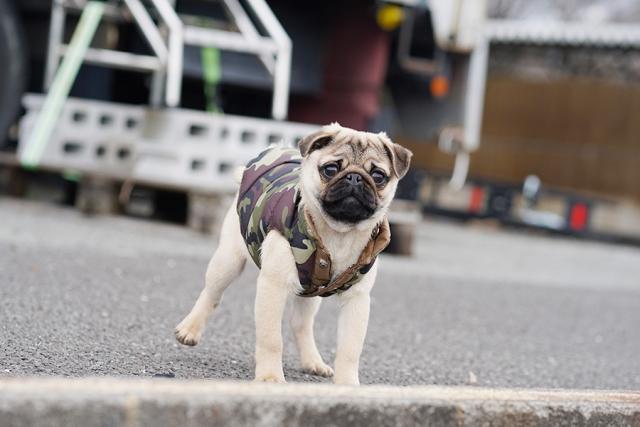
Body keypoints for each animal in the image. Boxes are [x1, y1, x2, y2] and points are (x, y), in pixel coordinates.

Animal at [175, 123, 412, 385]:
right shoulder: (273, 286)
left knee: (301, 324)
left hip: (310, 293)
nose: (355, 177)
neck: (338, 235)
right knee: (212, 294)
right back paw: (189, 330)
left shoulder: (357, 300)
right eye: (331, 169)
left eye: (378, 176)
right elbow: (271, 338)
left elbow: (350, 348)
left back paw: (313, 362)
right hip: (229, 260)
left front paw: (347, 384)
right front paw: (269, 376)